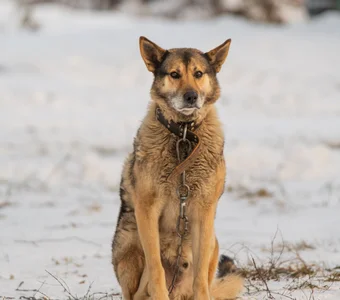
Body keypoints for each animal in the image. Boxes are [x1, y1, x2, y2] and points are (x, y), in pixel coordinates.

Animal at [111, 36, 242, 298]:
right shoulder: (147, 210)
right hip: (128, 244)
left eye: (198, 73)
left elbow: (200, 278)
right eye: (174, 74)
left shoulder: (203, 213)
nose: (191, 96)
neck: (183, 135)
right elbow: (156, 270)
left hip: (214, 241)